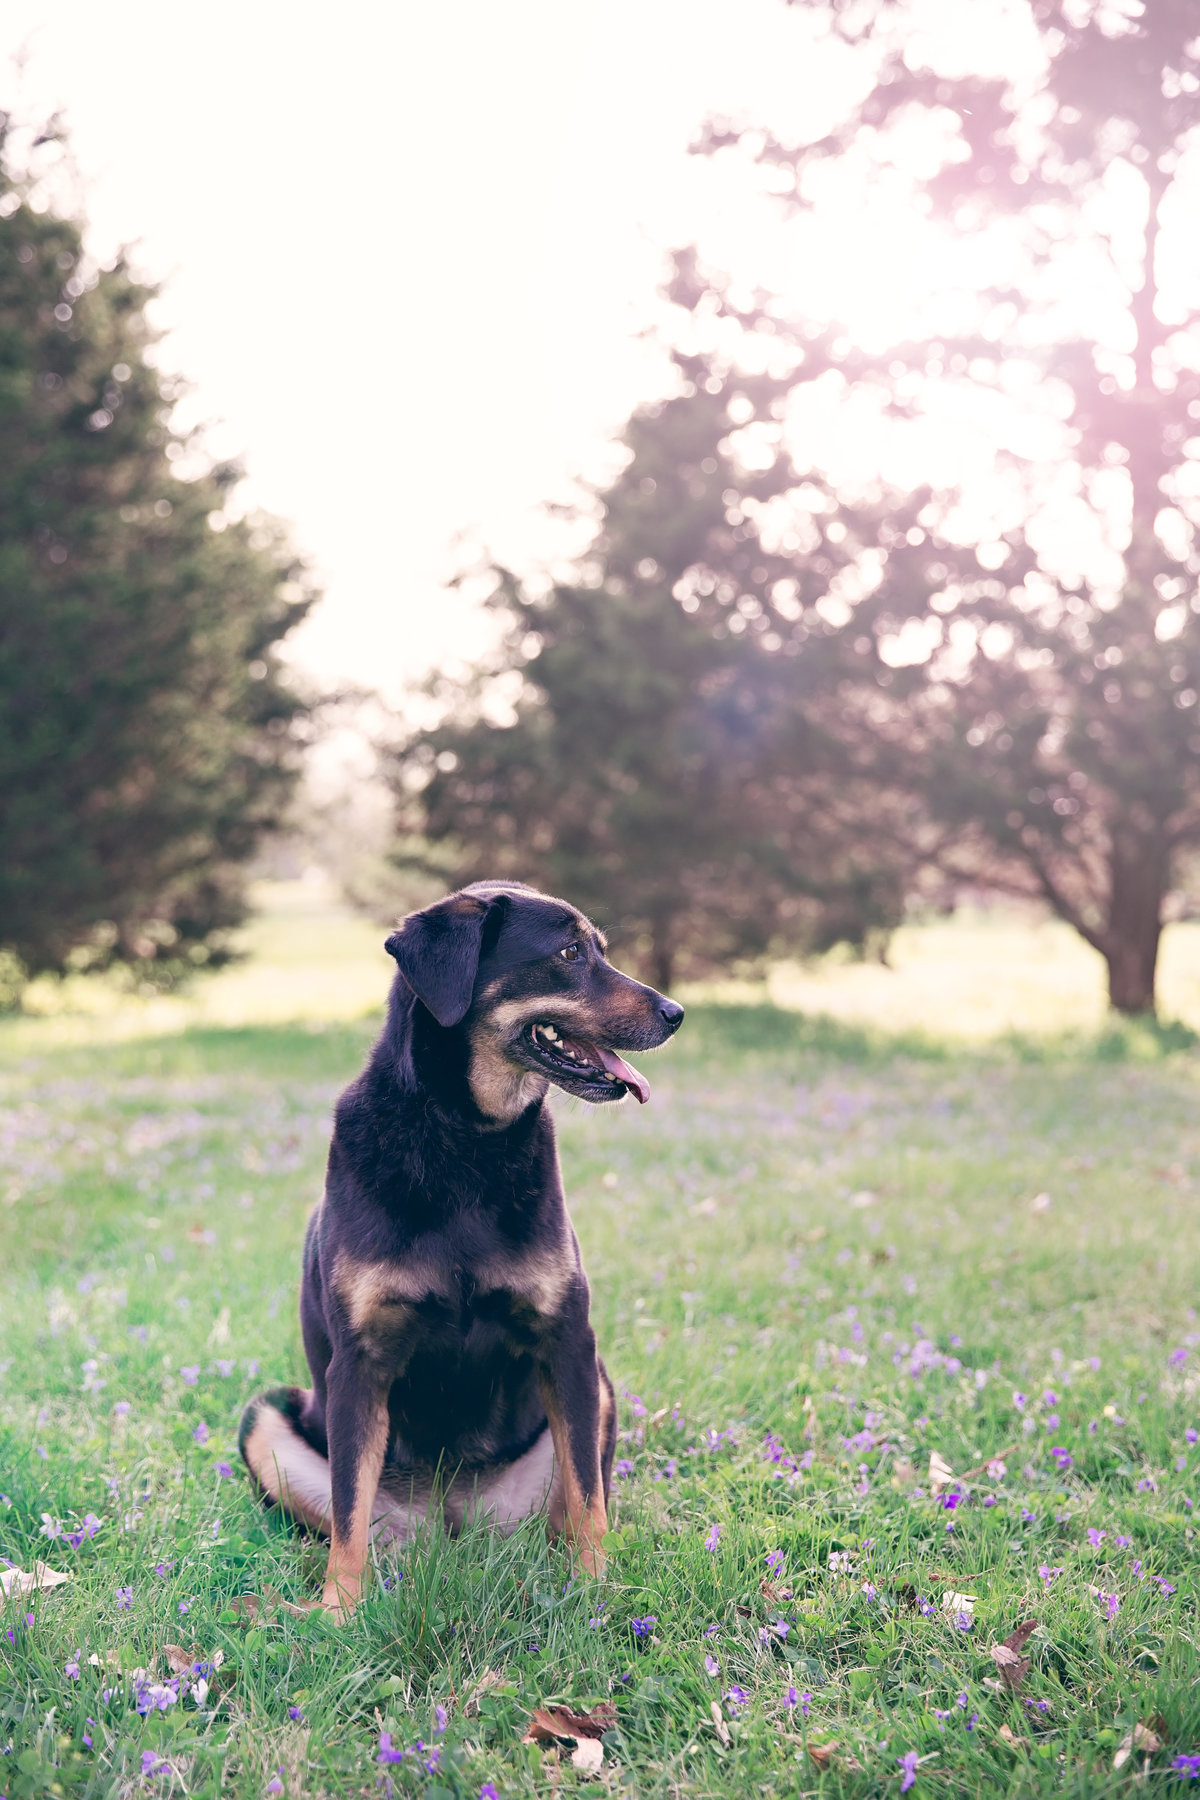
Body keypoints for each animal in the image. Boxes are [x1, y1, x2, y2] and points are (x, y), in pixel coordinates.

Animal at [239, 882, 683, 1620]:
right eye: (570, 953)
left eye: (600, 949)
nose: (677, 1013)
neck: (462, 1139)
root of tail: (454, 1525)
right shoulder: (360, 1361)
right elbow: (349, 1512)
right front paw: (339, 1613)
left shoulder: (568, 1341)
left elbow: (589, 1500)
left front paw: (596, 1593)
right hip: (267, 1421)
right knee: (354, 1519)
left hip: (595, 1390)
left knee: (570, 1504)